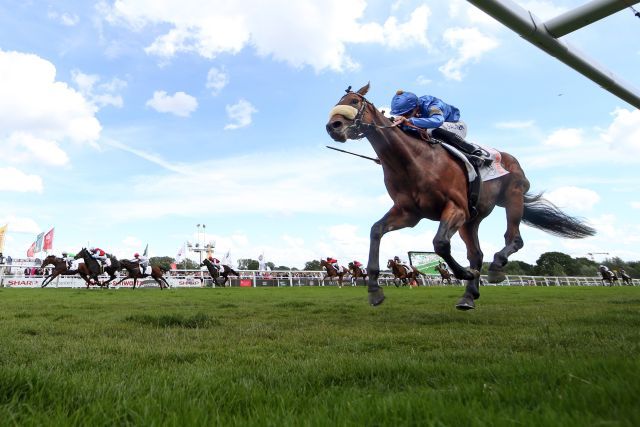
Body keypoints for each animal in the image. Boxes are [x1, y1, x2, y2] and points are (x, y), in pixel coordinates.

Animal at [324, 83, 596, 310]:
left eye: (354, 101)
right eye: (339, 101)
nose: (332, 126)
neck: (412, 160)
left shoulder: (455, 207)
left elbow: (440, 243)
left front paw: (464, 273)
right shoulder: (408, 213)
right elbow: (376, 231)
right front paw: (374, 290)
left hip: (512, 197)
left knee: (514, 239)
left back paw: (495, 268)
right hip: (470, 220)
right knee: (476, 254)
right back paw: (468, 296)